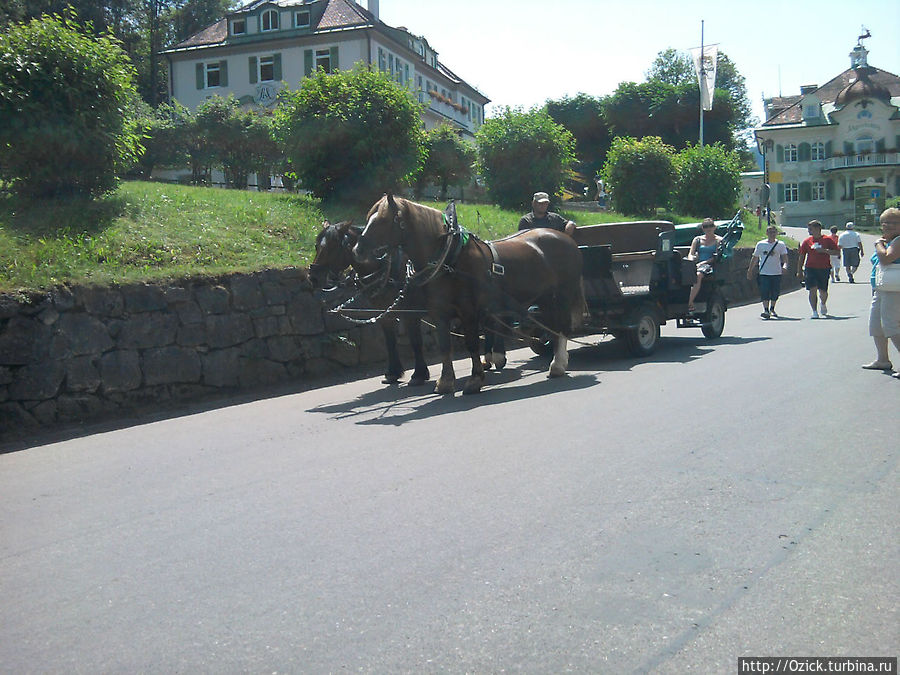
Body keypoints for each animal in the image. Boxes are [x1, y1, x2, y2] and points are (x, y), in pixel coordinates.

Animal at [310, 222, 428, 388]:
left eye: (333, 246)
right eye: (316, 246)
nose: (313, 278)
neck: (387, 269)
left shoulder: (411, 313)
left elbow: (416, 341)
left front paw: (419, 374)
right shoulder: (385, 314)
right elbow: (390, 341)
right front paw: (393, 373)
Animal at [352, 195, 584, 396]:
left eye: (383, 220)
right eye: (369, 218)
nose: (358, 250)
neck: (449, 258)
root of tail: (566, 238)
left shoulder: (468, 311)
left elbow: (472, 344)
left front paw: (475, 380)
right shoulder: (440, 312)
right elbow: (445, 345)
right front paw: (445, 382)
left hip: (562, 295)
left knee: (562, 327)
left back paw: (557, 365)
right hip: (546, 299)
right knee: (552, 327)